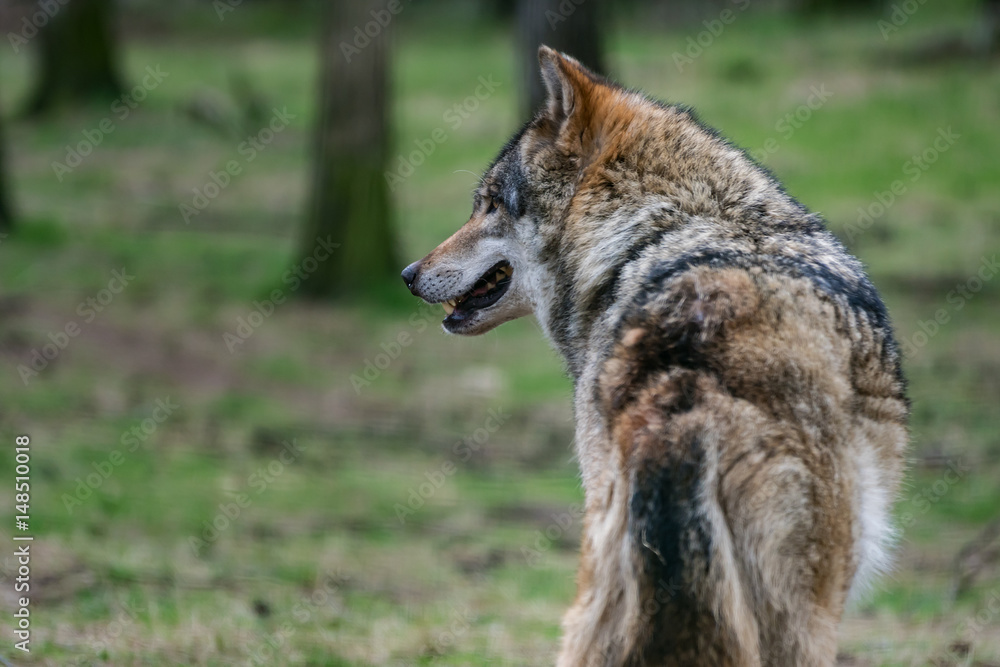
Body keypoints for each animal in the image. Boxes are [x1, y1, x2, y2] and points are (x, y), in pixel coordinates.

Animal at [402, 44, 912, 664]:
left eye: (491, 205)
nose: (407, 274)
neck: (655, 228)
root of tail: (683, 392)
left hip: (595, 606)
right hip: (801, 621)